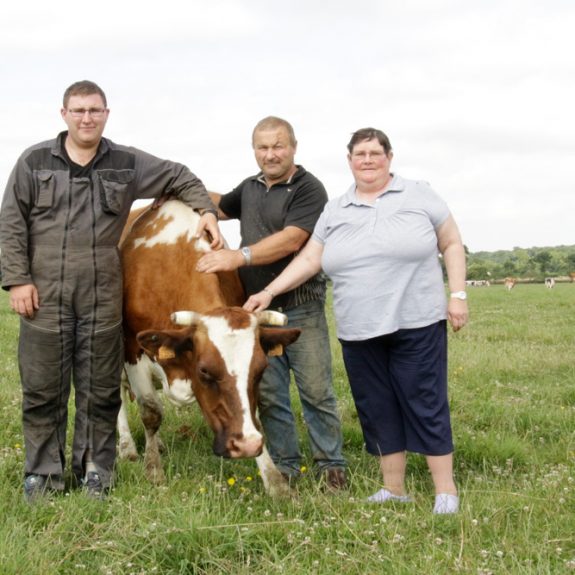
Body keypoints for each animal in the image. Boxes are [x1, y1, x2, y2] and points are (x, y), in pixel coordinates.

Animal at [115, 199, 300, 496]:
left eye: (260, 370)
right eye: (205, 371)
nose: (246, 445)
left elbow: (254, 415)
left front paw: (275, 482)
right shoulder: (133, 350)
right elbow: (151, 412)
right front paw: (153, 471)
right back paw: (127, 448)